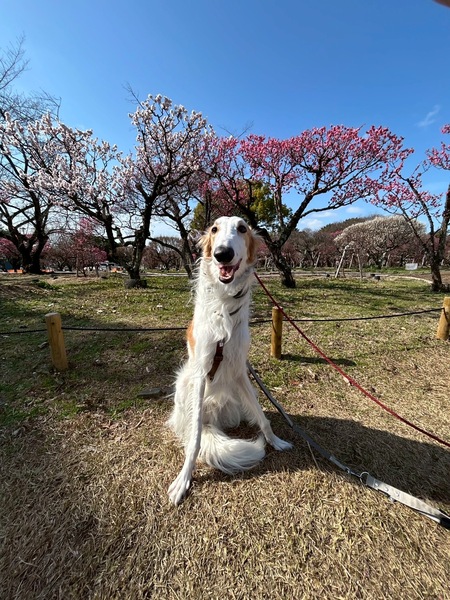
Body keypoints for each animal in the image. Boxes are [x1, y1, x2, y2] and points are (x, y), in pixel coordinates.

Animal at [167, 216, 292, 505]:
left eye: (242, 228)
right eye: (214, 229)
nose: (222, 253)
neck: (224, 305)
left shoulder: (239, 370)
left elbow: (263, 417)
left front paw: (276, 441)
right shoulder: (201, 373)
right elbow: (194, 440)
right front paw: (184, 479)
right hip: (185, 381)